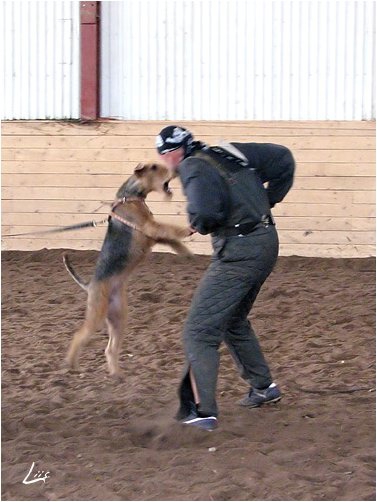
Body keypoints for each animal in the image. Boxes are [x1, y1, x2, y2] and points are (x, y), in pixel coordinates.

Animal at [63, 163, 192, 378]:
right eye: (157, 167)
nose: (176, 170)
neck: (129, 197)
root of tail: (89, 285)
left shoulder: (153, 234)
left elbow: (170, 238)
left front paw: (187, 252)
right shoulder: (150, 227)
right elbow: (170, 229)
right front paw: (189, 230)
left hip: (119, 317)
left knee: (110, 348)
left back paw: (117, 374)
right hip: (97, 313)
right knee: (79, 335)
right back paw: (71, 364)